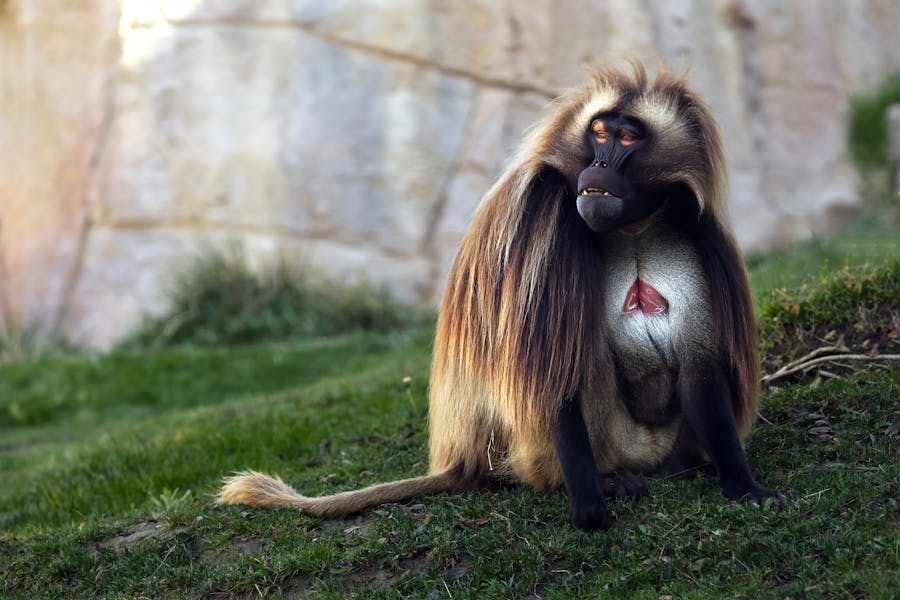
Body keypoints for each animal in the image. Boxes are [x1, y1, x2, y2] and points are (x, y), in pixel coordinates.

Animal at [217, 61, 780, 530]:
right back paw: (608, 480)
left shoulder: (689, 226)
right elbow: (555, 375)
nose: (600, 165)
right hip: (560, 449)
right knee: (575, 361)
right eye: (599, 132)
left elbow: (700, 366)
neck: (633, 228)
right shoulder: (547, 211)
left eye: (627, 137)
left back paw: (687, 469)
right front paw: (590, 506)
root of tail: (461, 460)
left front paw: (742, 484)